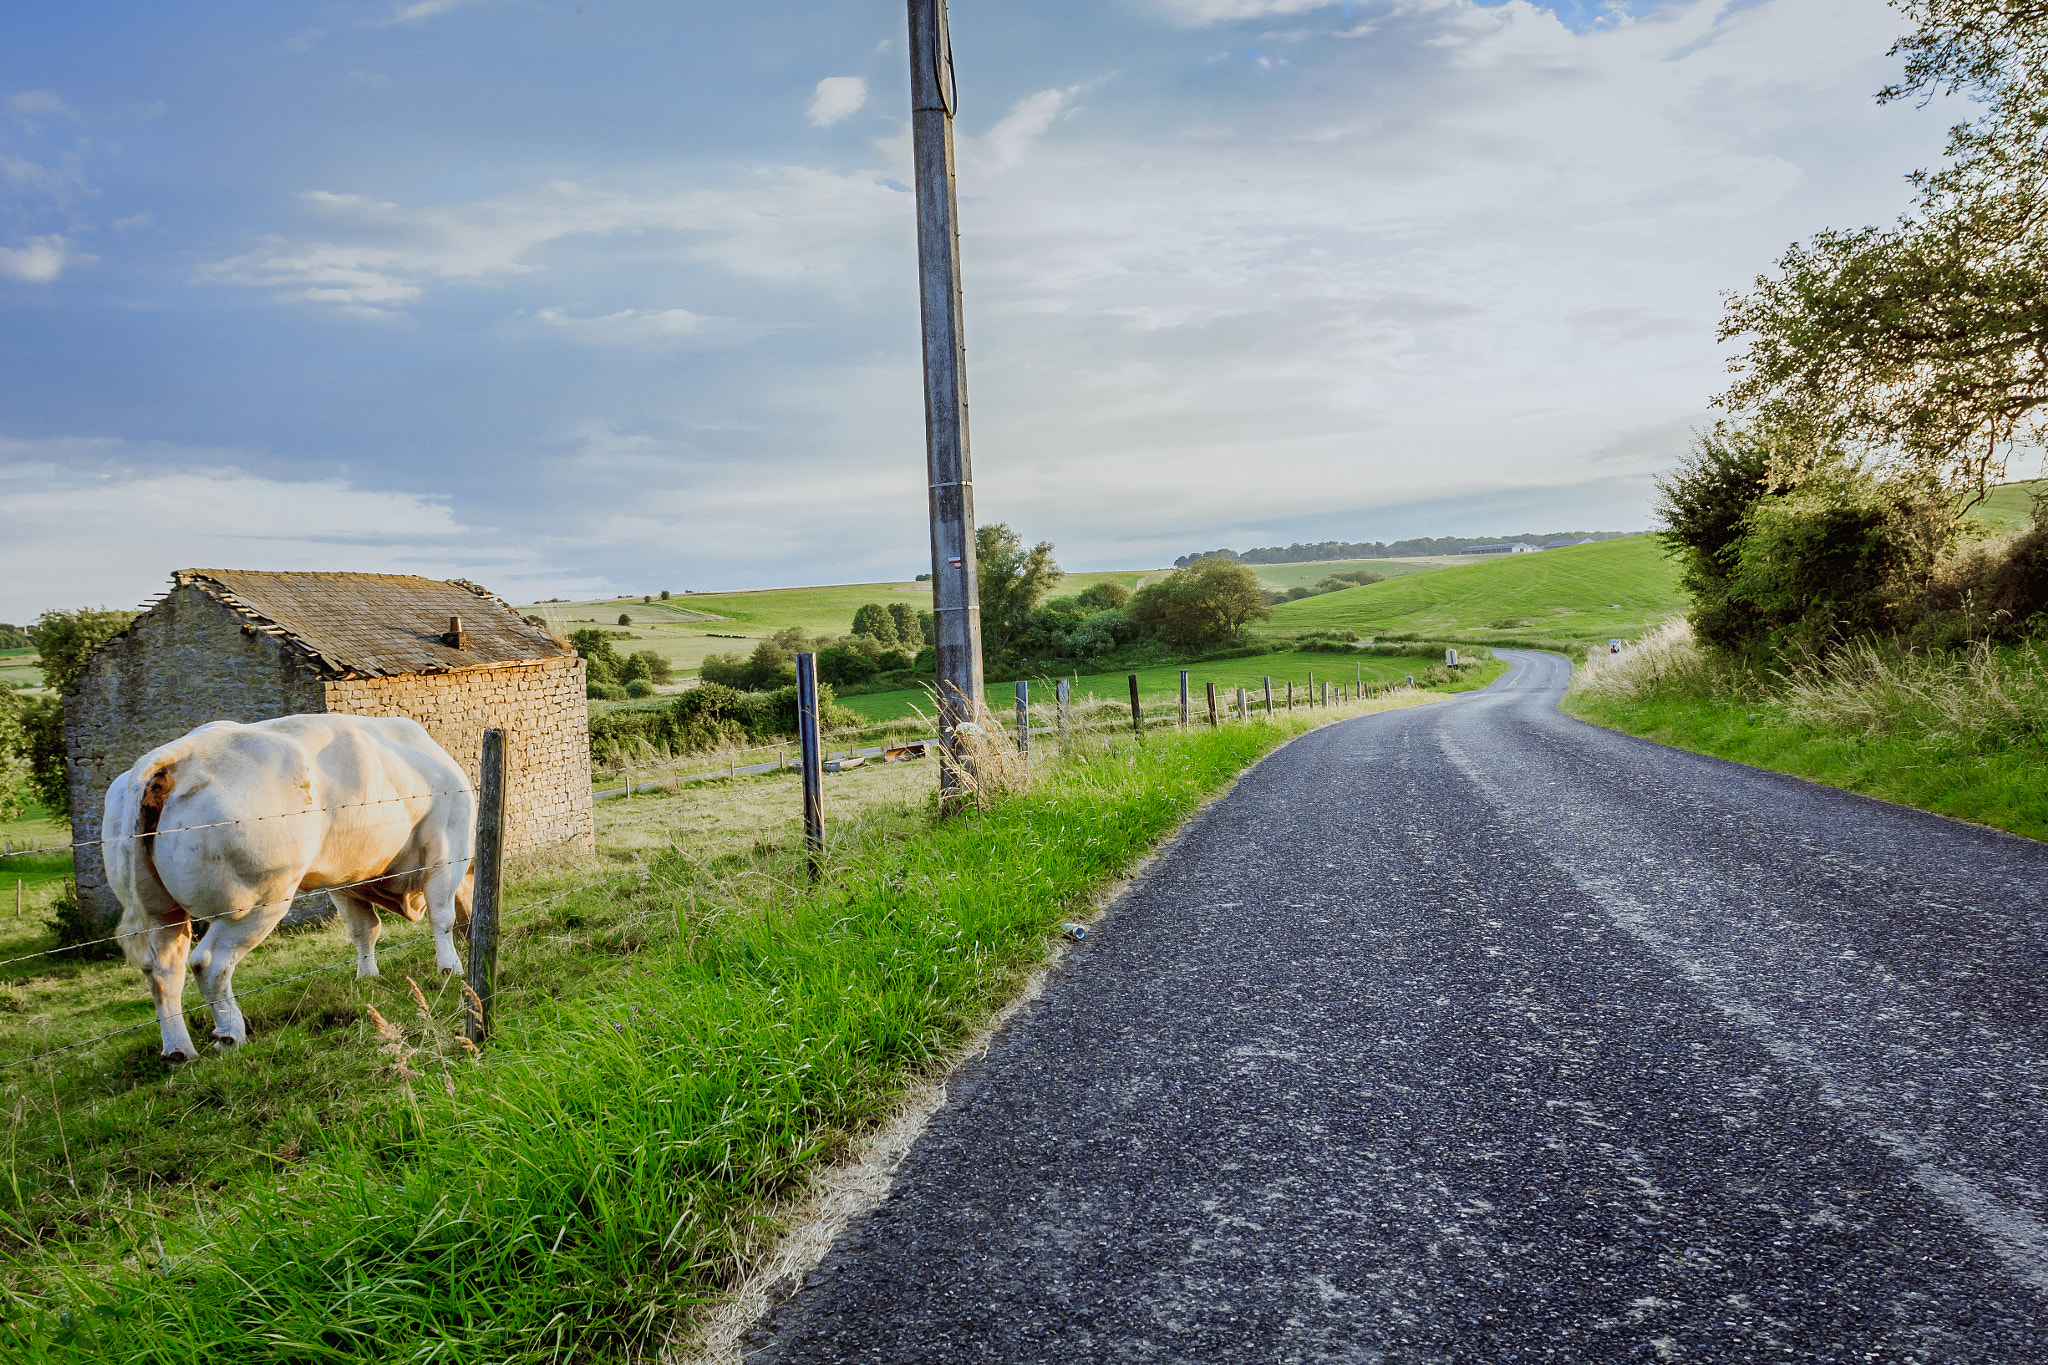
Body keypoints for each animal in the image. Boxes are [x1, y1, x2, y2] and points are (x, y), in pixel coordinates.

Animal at [107, 720, 471, 1064]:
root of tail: (180, 753)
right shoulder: (446, 848)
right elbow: (441, 917)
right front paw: (450, 969)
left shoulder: (344, 880)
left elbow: (365, 930)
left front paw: (367, 978)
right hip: (255, 903)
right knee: (208, 963)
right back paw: (230, 1036)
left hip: (162, 913)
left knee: (163, 970)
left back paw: (179, 1051)